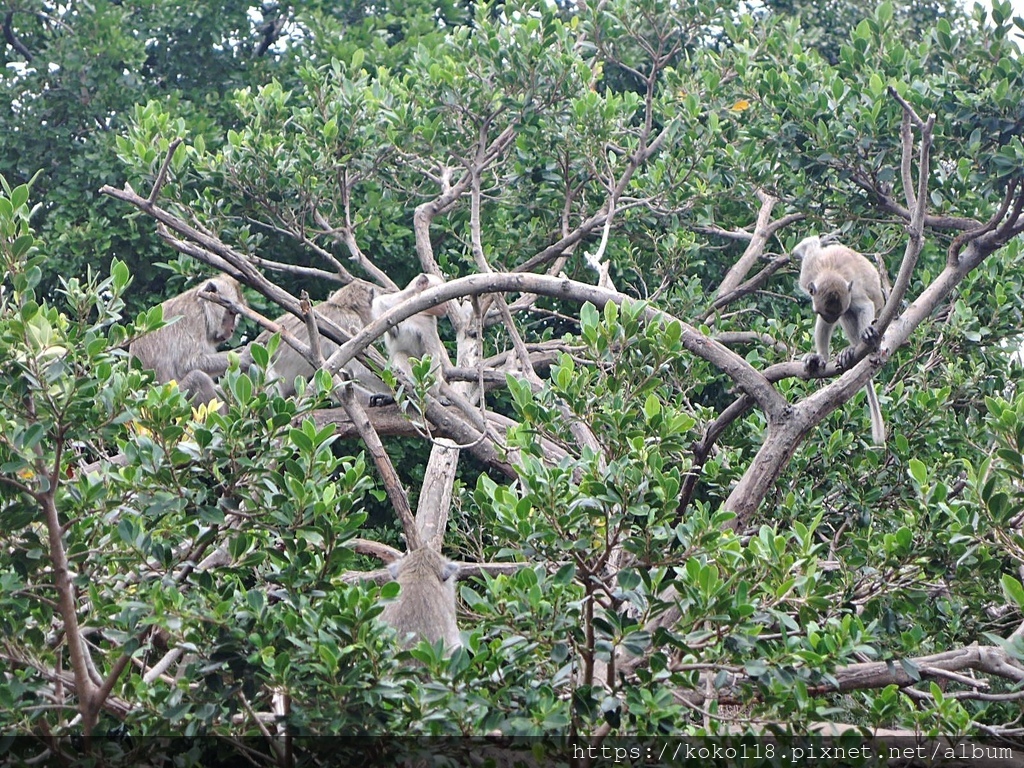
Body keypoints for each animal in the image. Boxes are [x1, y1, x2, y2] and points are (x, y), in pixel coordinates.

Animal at [129, 274, 246, 409]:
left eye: (235, 314)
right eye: (230, 312)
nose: (232, 330)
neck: (202, 306)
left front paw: (240, 351)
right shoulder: (195, 321)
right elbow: (186, 364)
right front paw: (244, 357)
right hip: (174, 400)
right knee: (198, 378)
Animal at [794, 237, 884, 448]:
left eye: (834, 313)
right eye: (825, 313)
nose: (831, 319)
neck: (830, 270)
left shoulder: (852, 291)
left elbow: (864, 305)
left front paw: (867, 332)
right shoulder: (808, 273)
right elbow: (807, 247)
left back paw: (858, 347)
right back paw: (821, 357)